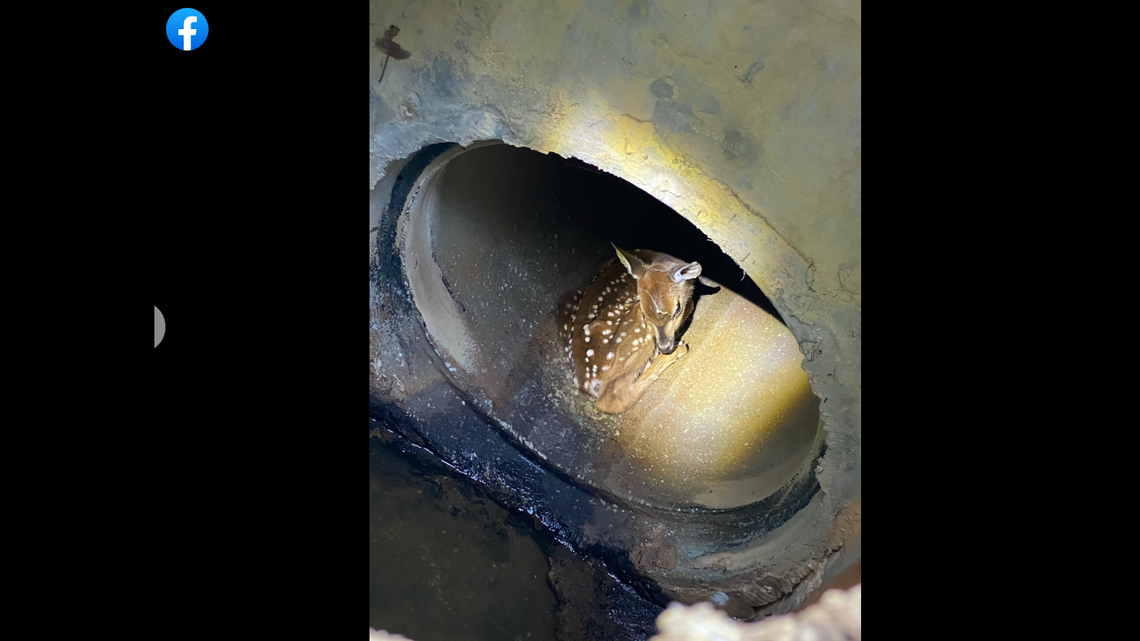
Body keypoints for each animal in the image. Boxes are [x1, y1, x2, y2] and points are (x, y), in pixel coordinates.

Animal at [559, 245, 702, 414]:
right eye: (645, 313)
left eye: (676, 309)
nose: (665, 348)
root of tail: (585, 381)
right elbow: (691, 304)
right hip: (635, 336)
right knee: (611, 398)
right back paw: (676, 351)